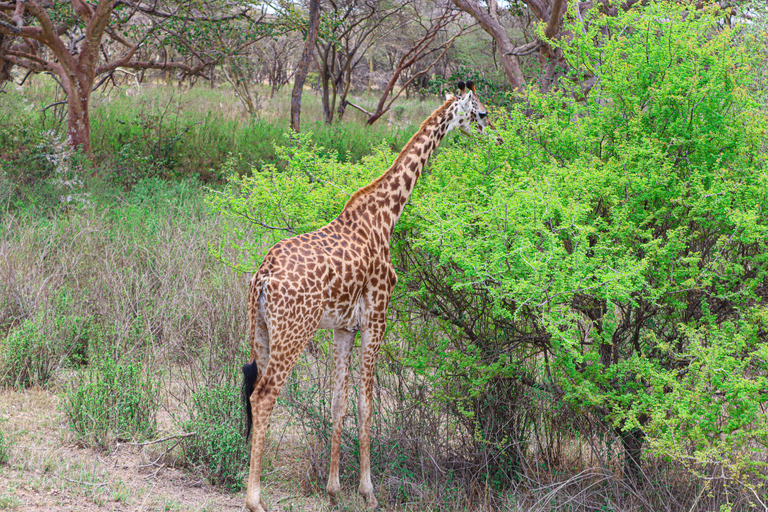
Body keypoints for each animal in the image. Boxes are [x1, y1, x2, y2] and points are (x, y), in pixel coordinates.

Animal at [240, 80, 500, 512]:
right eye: (480, 113)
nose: (497, 137)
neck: (386, 215)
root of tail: (263, 276)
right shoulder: (377, 316)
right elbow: (367, 404)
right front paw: (368, 490)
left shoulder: (343, 327)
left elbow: (338, 402)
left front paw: (333, 489)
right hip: (294, 332)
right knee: (263, 397)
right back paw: (255, 499)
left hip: (259, 329)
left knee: (255, 393)